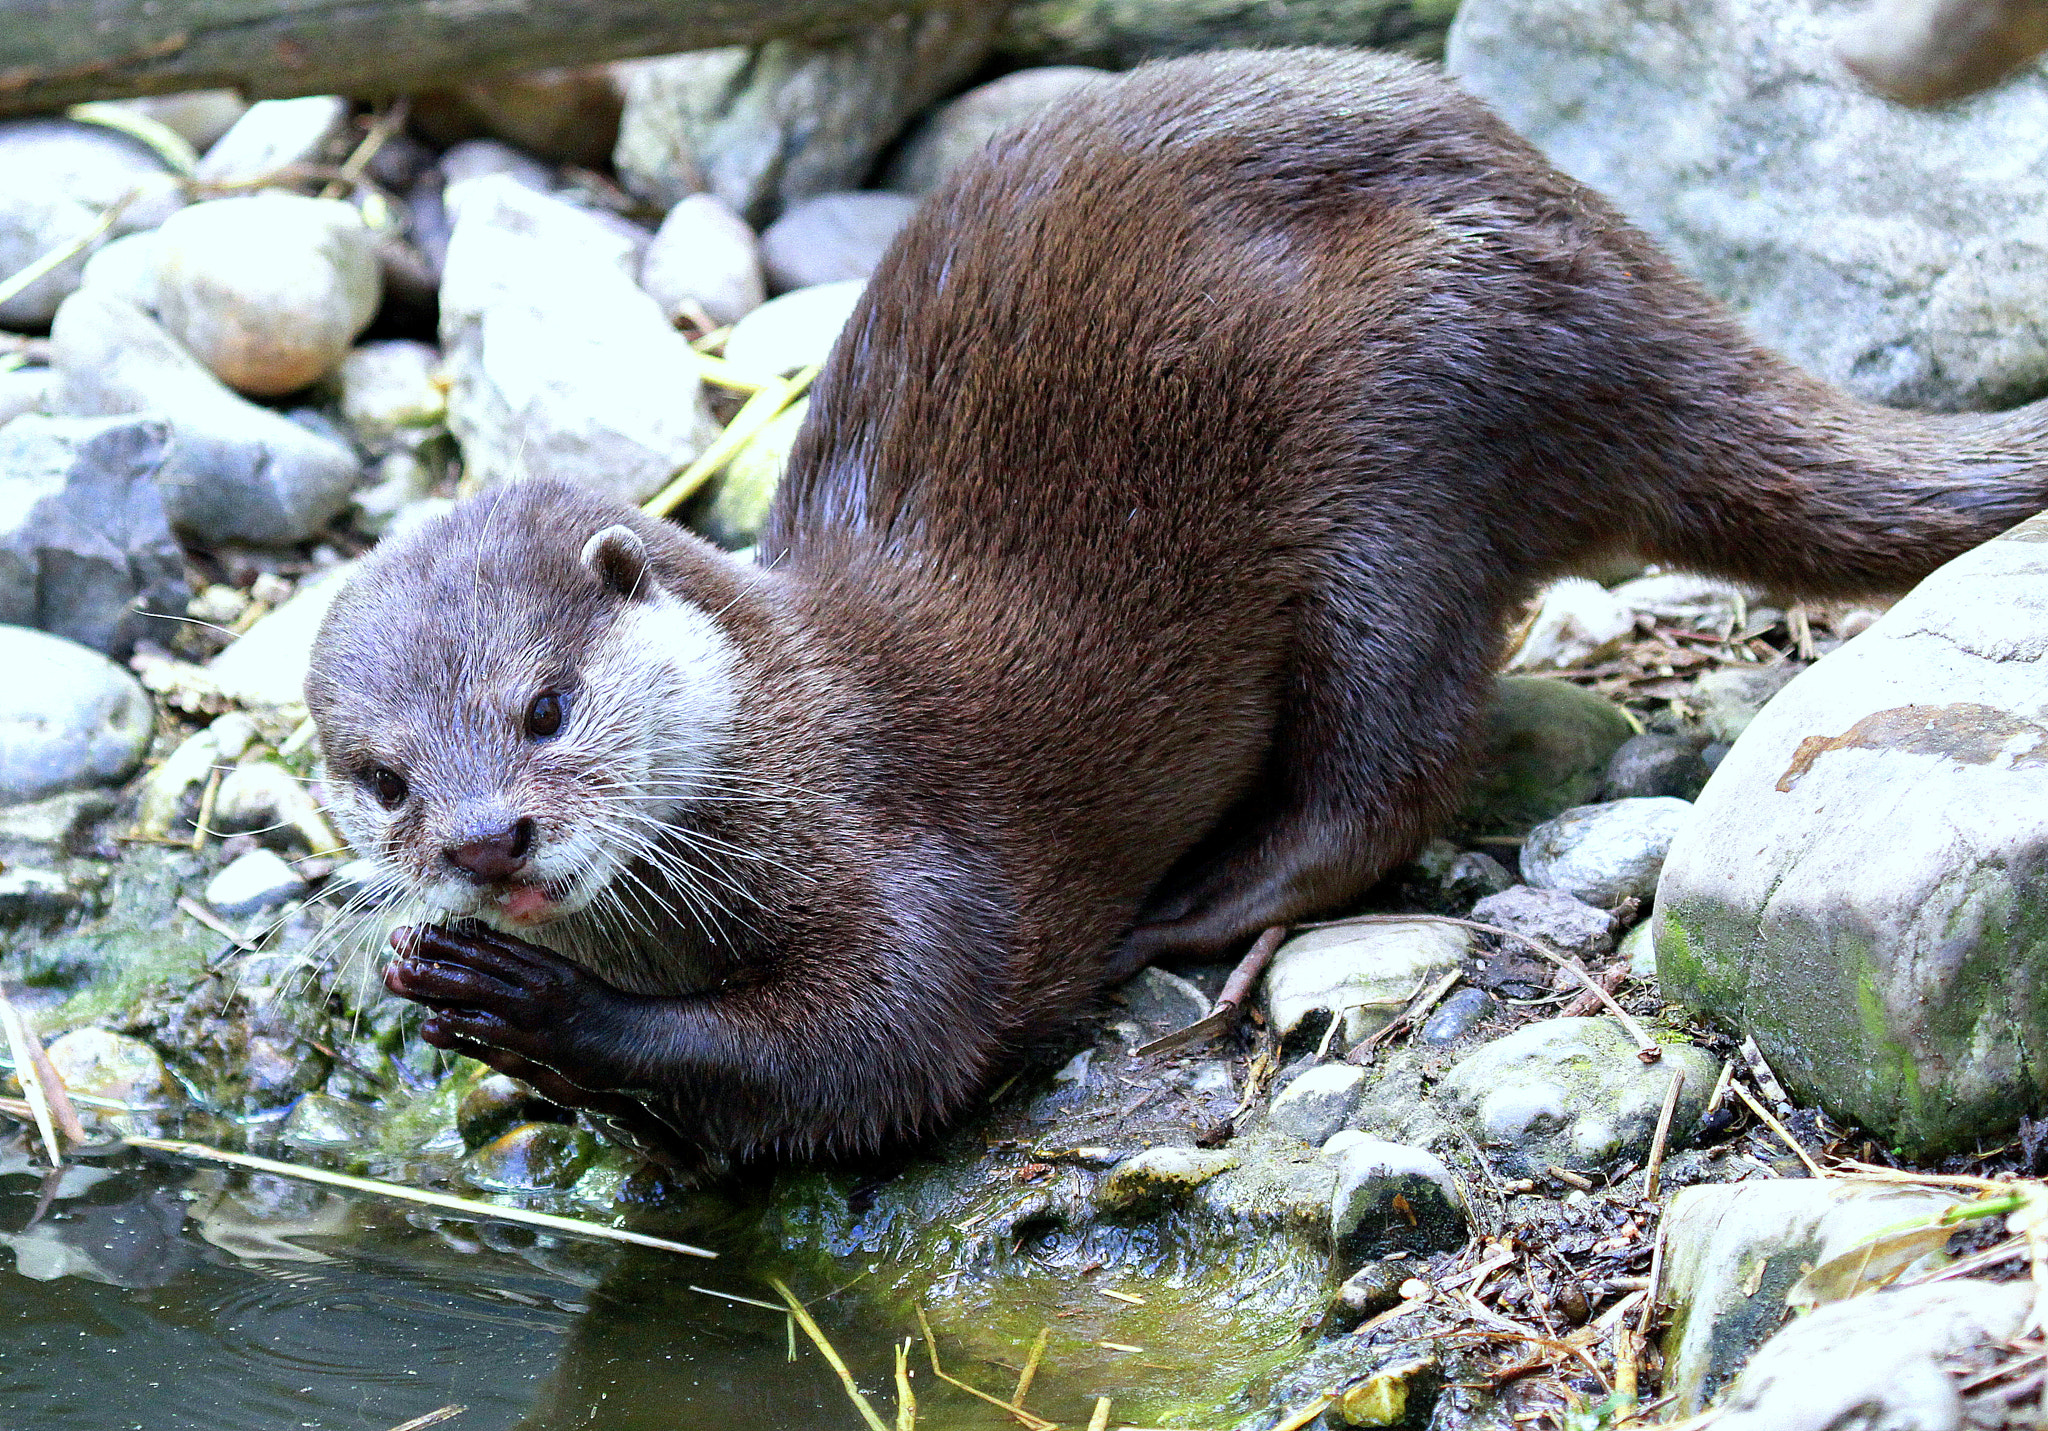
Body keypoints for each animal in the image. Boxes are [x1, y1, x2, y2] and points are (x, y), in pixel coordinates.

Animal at [306, 48, 2048, 1171]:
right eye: (384, 778)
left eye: (546, 704)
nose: (486, 843)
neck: (789, 740)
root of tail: (1598, 245)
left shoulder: (907, 842)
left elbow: (888, 1040)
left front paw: (541, 1008)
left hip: (1405, 450)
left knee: (1388, 766)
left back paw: (1202, 908)